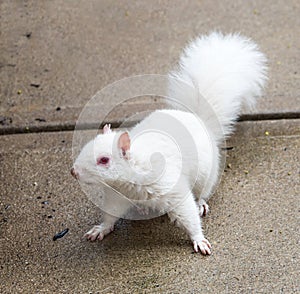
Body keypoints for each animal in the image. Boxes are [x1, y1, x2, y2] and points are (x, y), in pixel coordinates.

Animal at [71, 32, 268, 255]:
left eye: (104, 160)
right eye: (86, 147)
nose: (74, 171)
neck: (132, 178)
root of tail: (198, 120)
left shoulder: (172, 188)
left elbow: (187, 214)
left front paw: (199, 239)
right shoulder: (118, 195)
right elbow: (111, 214)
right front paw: (100, 229)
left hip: (206, 174)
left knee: (203, 191)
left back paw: (201, 204)